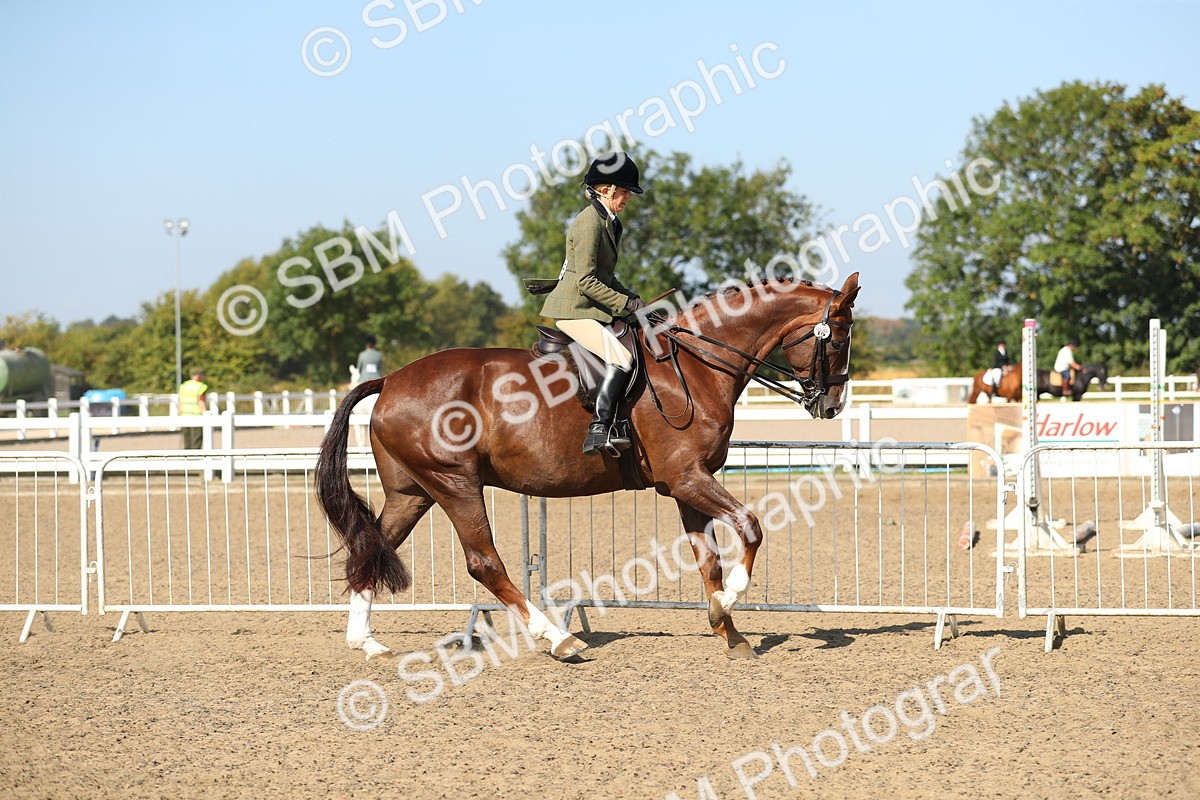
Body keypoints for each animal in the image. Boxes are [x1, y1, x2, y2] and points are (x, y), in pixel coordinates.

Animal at [315, 273, 860, 661]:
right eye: (838, 340)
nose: (831, 406)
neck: (699, 365)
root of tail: (390, 381)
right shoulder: (688, 477)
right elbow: (750, 526)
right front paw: (729, 603)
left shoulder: (687, 484)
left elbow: (709, 561)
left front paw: (727, 631)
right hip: (455, 484)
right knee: (484, 562)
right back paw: (558, 639)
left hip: (414, 491)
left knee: (371, 548)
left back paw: (366, 642)